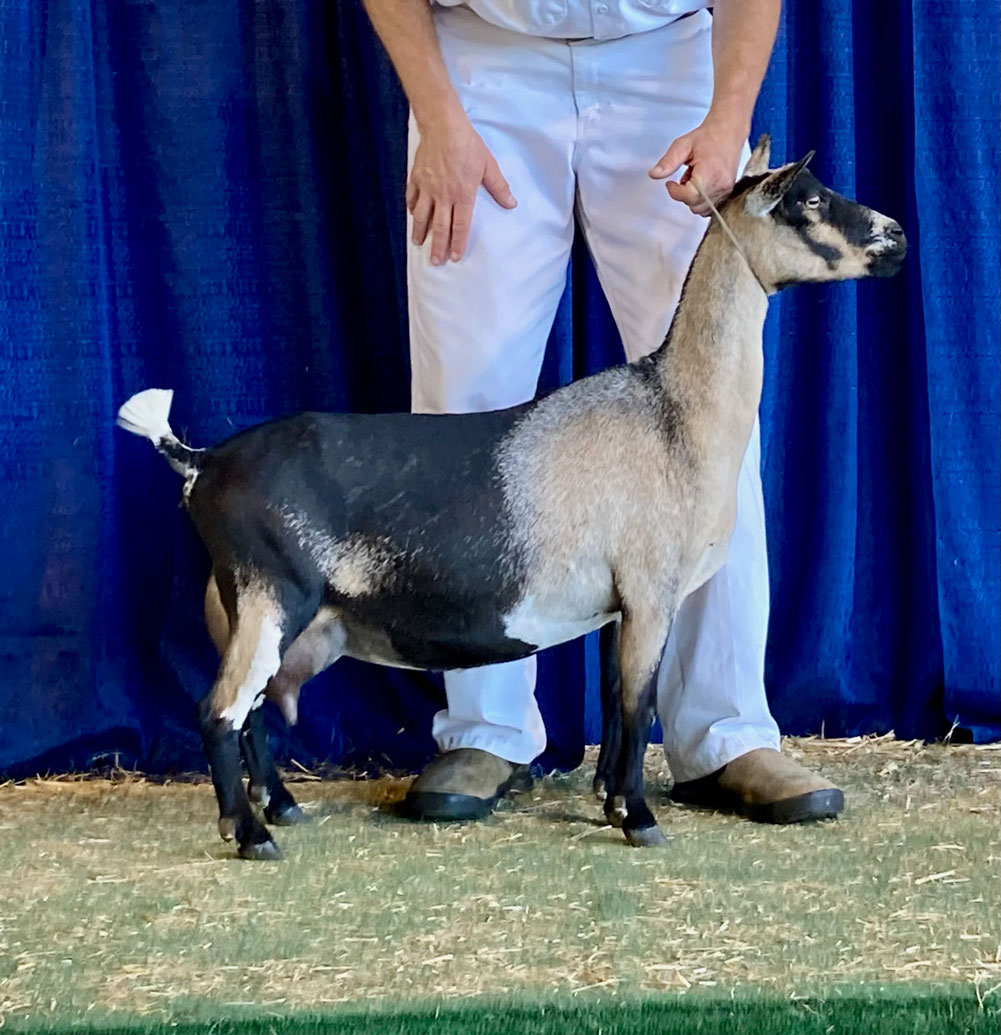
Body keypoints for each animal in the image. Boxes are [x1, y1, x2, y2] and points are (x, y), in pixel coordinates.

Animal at [117, 139, 906, 865]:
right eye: (808, 199)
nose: (896, 236)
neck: (671, 413)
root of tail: (202, 461)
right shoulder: (652, 591)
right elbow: (639, 704)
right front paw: (640, 820)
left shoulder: (620, 603)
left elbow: (614, 704)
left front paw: (610, 802)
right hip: (272, 595)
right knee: (220, 709)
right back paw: (251, 835)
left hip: (247, 607)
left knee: (250, 711)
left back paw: (280, 806)